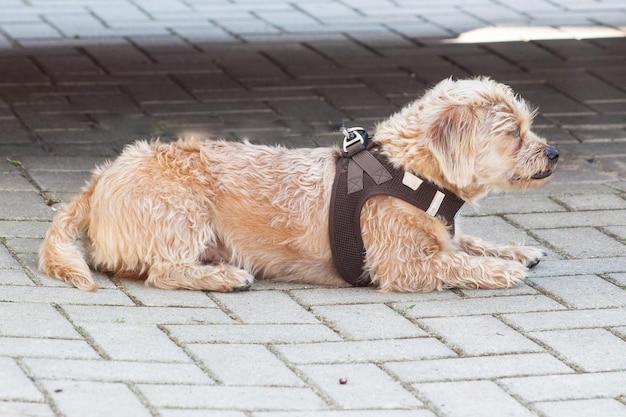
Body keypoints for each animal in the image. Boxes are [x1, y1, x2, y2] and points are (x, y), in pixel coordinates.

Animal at [37, 78, 556, 292]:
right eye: (513, 133)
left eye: (528, 126)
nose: (553, 153)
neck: (409, 169)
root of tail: (97, 181)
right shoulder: (403, 265)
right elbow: (453, 262)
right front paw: (500, 269)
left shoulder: (439, 235)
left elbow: (465, 243)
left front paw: (512, 251)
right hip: (181, 211)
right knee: (165, 271)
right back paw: (223, 278)